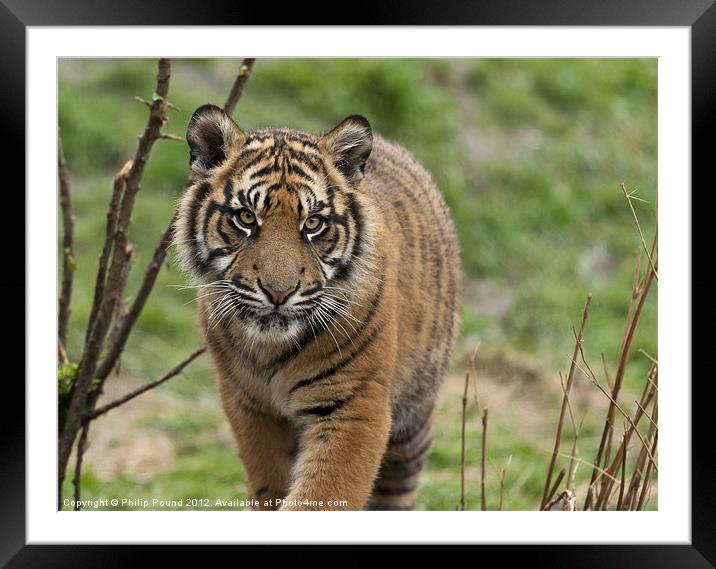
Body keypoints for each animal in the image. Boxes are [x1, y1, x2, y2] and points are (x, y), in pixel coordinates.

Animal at [175, 103, 464, 510]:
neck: (270, 348)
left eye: (313, 224)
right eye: (246, 218)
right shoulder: (250, 406)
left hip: (413, 420)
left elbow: (323, 494)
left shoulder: (353, 406)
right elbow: (270, 487)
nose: (278, 293)